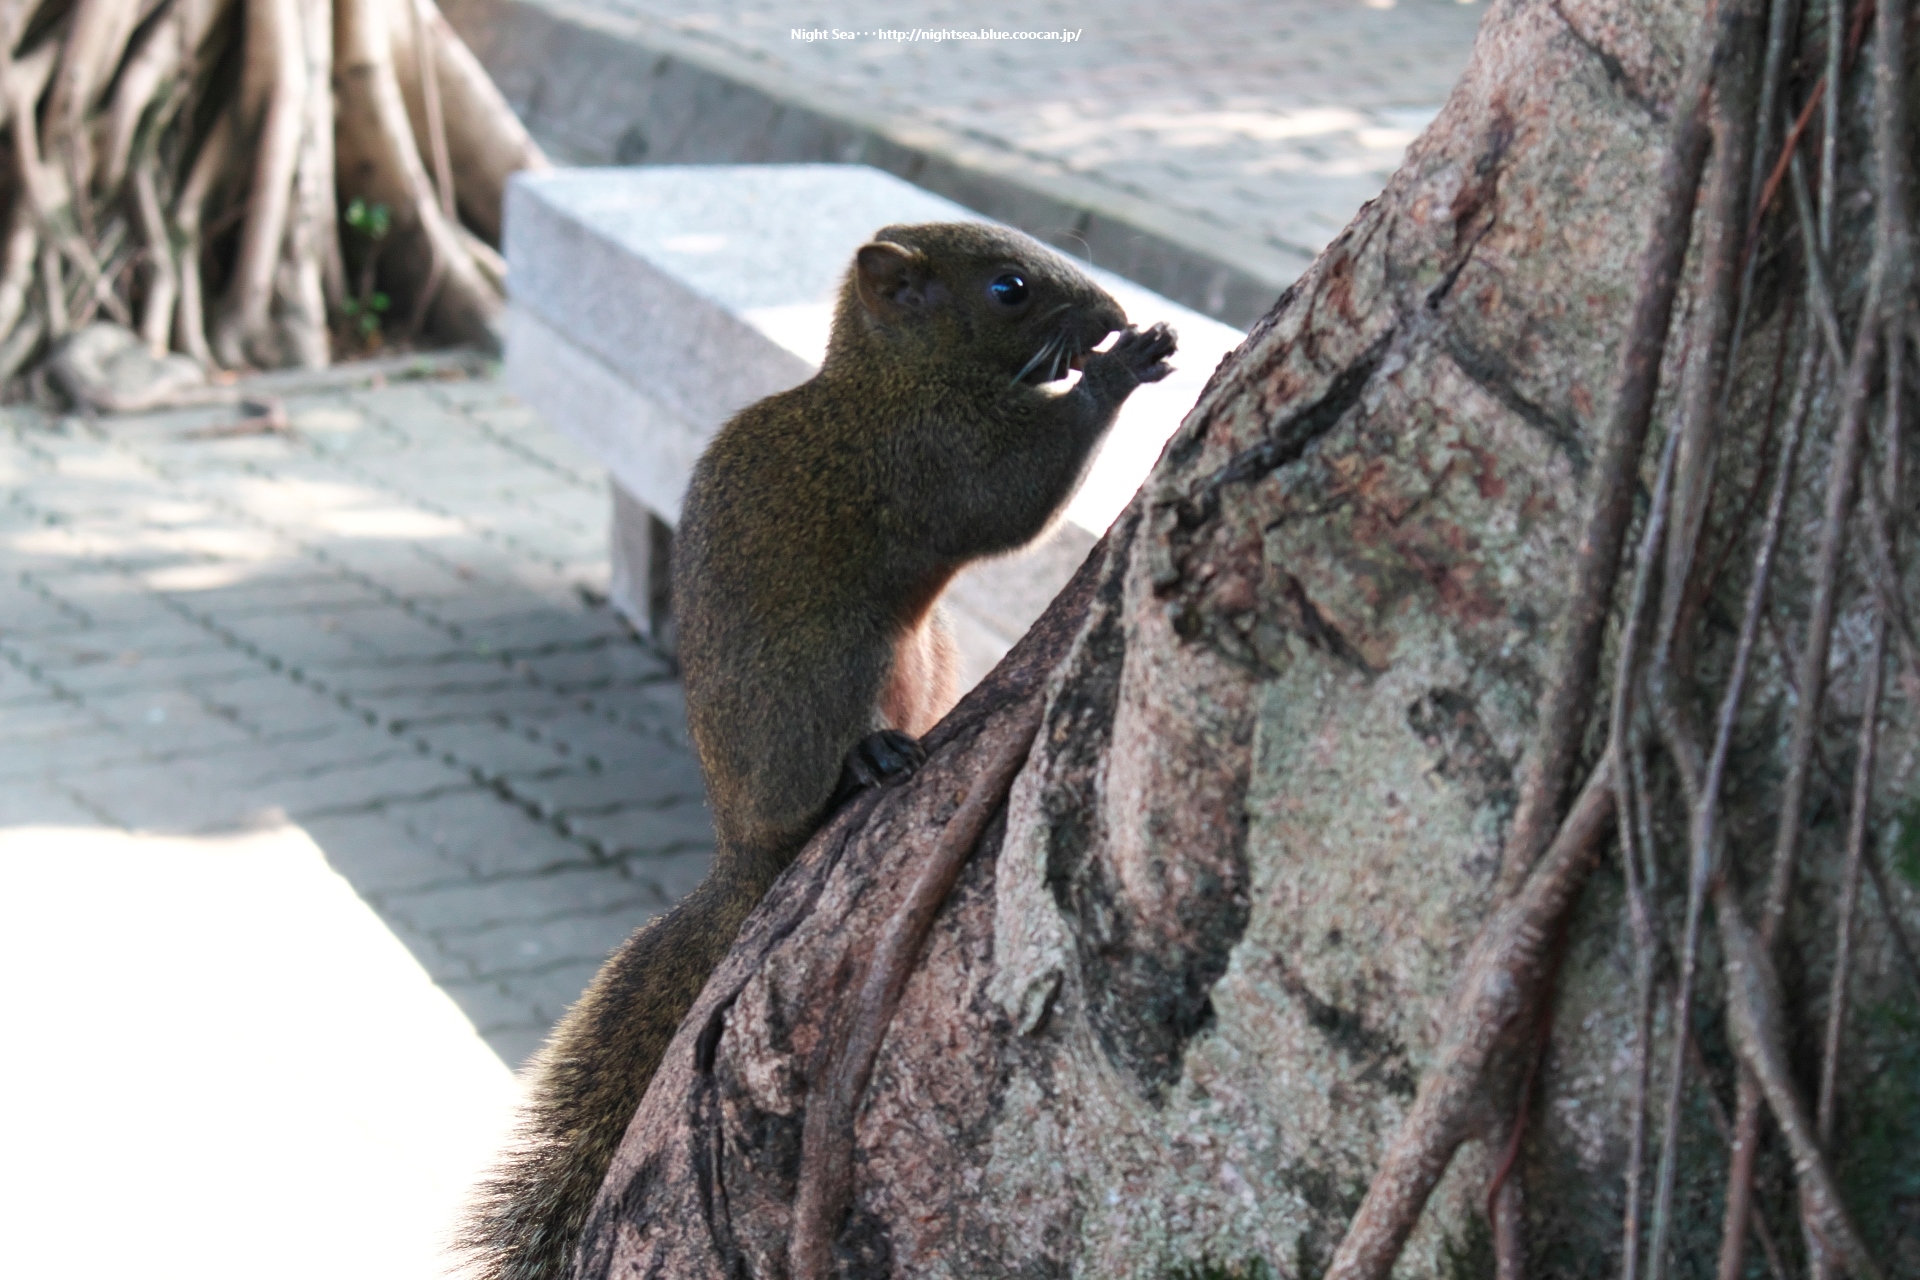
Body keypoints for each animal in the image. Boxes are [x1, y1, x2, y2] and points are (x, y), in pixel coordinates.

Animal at [464, 222, 1175, 1280]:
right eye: (1008, 288)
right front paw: (1119, 369)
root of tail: (744, 848)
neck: (893, 378)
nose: (1113, 315)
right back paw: (866, 765)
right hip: (831, 670)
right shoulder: (926, 455)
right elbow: (1007, 495)